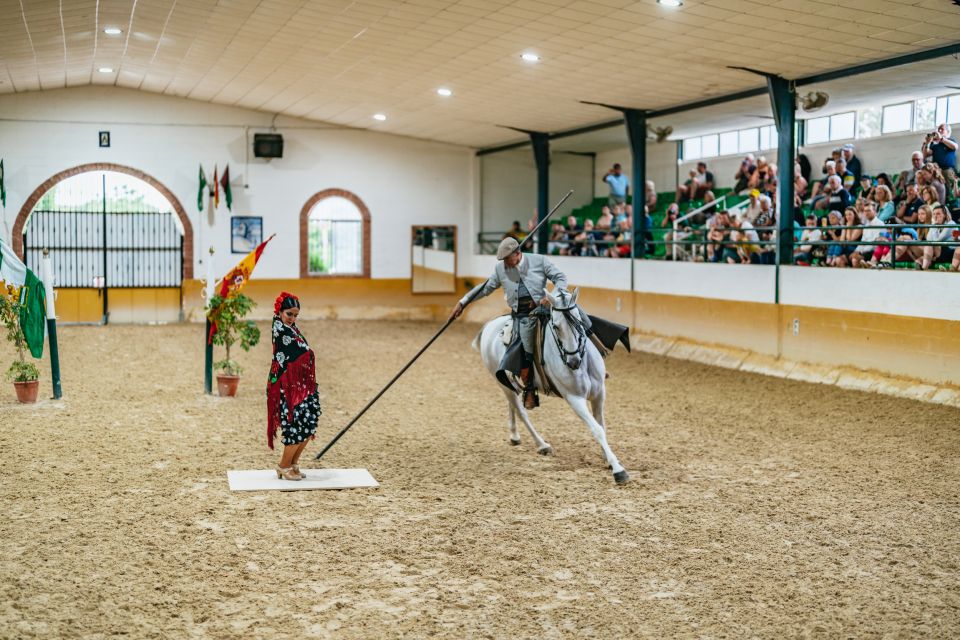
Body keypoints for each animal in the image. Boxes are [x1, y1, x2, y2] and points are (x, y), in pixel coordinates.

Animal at [470, 288, 632, 482]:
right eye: (556, 327)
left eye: (578, 321)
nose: (573, 362)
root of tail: (489, 325)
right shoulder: (574, 399)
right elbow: (597, 429)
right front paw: (618, 470)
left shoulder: (599, 394)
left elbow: (602, 426)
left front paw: (608, 458)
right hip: (502, 383)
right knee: (521, 411)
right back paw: (542, 444)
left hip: (509, 384)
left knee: (512, 406)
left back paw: (515, 436)